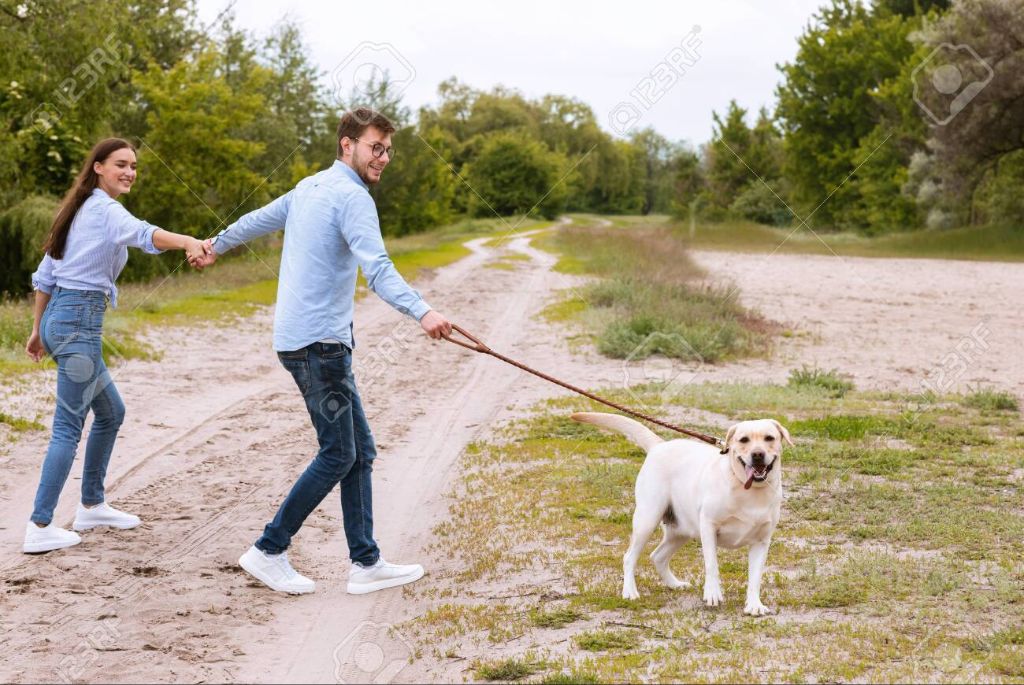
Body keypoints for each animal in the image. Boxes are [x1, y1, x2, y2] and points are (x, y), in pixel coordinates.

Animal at [569, 411, 790, 614]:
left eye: (769, 438)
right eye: (744, 440)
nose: (758, 454)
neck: (749, 490)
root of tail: (659, 445)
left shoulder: (761, 542)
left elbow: (755, 577)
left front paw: (754, 605)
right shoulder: (708, 527)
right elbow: (712, 565)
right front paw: (712, 594)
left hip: (682, 531)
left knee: (658, 556)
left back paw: (674, 584)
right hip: (647, 520)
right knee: (629, 557)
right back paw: (630, 591)